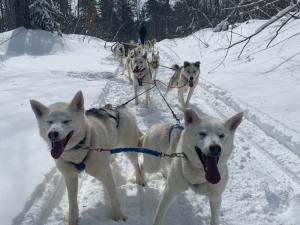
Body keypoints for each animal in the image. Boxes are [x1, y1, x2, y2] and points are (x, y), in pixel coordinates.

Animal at [29, 91, 144, 225]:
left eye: (66, 121)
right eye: (49, 122)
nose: (52, 133)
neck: (80, 148)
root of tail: (120, 109)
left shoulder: (105, 174)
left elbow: (114, 197)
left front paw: (118, 216)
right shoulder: (70, 177)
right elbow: (72, 203)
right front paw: (72, 220)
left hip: (129, 149)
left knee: (136, 164)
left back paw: (140, 179)